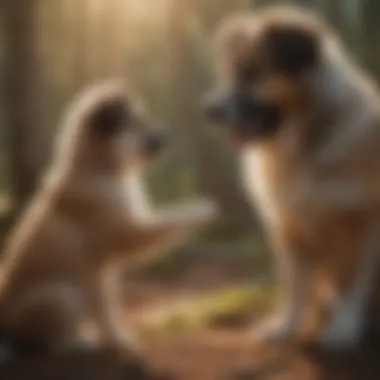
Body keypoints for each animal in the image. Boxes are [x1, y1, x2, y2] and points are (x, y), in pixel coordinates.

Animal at [0, 80, 217, 360]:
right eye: (137, 124)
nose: (167, 136)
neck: (98, 167)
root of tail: (6, 331)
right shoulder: (128, 236)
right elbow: (172, 218)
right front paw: (204, 209)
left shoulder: (105, 272)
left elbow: (108, 310)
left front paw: (115, 339)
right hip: (62, 296)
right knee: (48, 345)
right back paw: (79, 344)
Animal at [205, 7, 380, 348]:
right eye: (230, 74)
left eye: (252, 73)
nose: (208, 110)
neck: (306, 146)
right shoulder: (289, 227)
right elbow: (294, 286)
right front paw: (285, 327)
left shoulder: (358, 225)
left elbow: (349, 281)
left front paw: (342, 329)